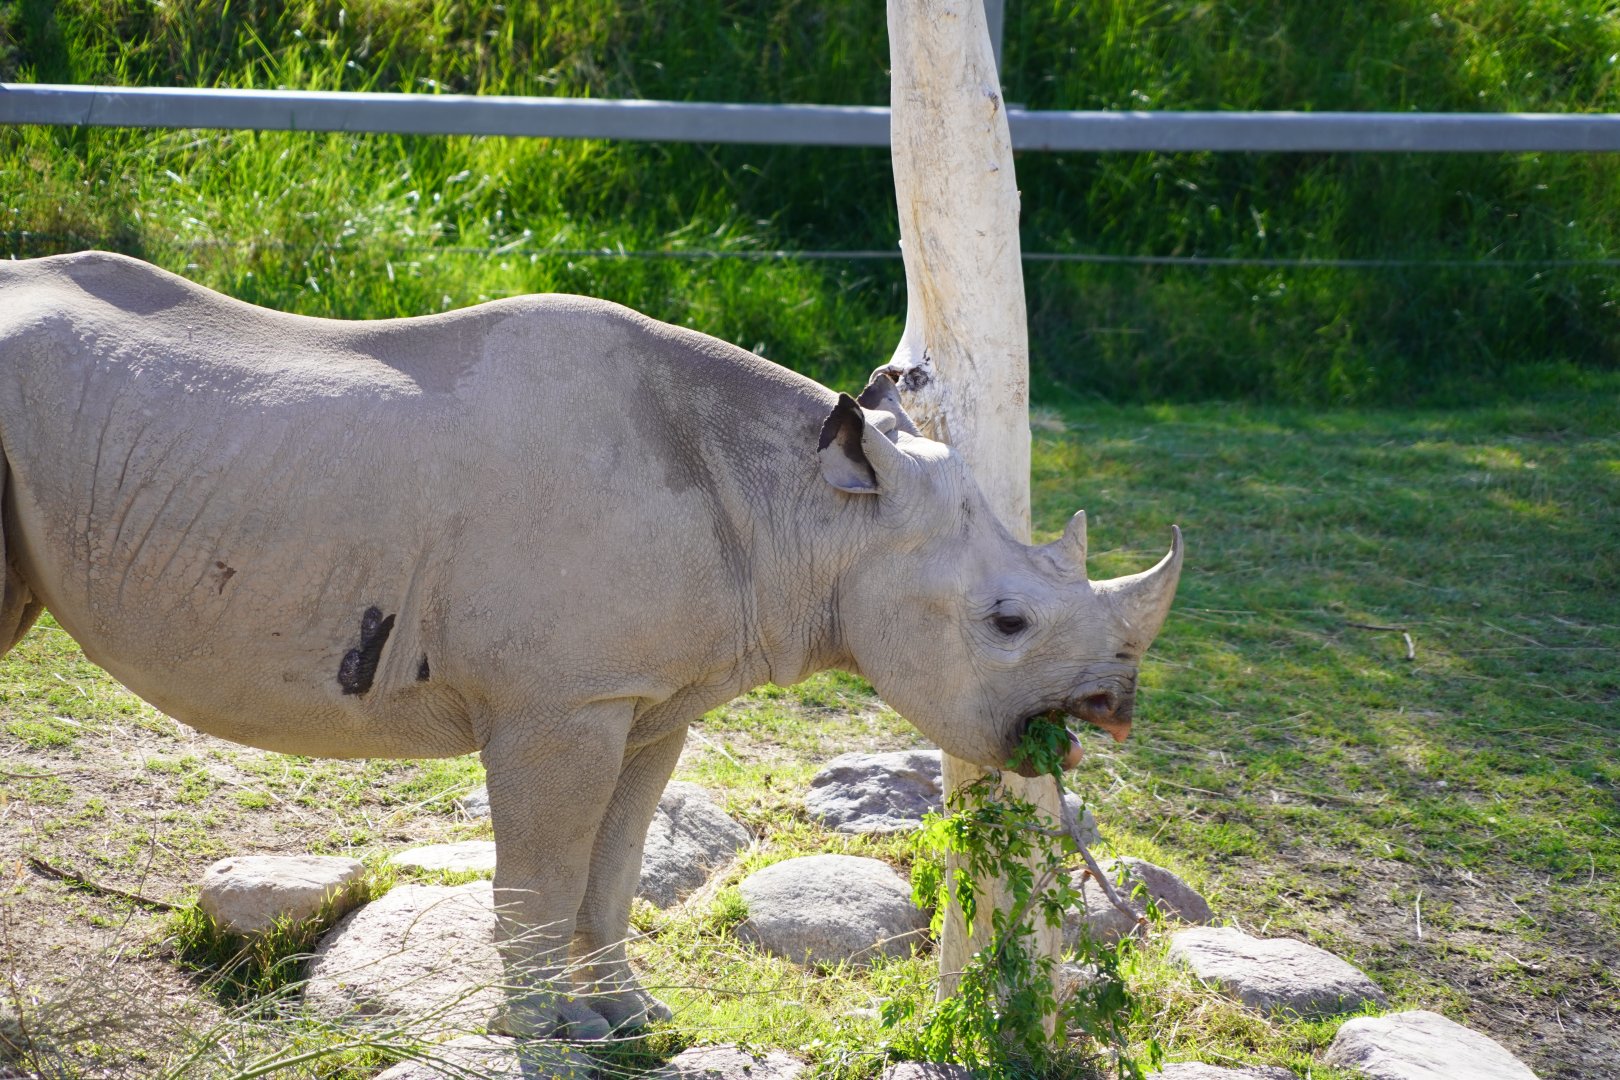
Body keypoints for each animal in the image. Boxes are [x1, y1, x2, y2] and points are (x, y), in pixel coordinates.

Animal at [0, 251, 1182, 1037]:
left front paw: (630, 1018)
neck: (819, 509)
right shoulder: (560, 704)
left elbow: (614, 868)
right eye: (1007, 622)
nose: (1116, 704)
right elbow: (543, 871)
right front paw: (540, 1036)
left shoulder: (648, 698)